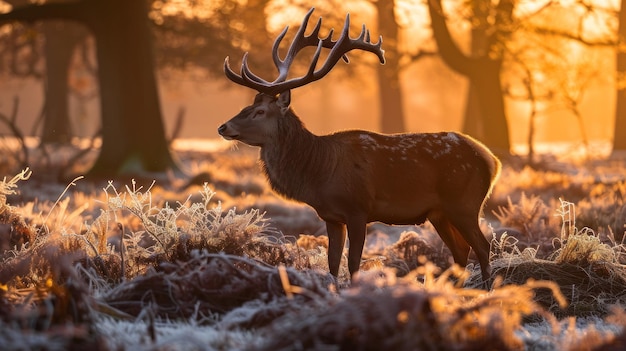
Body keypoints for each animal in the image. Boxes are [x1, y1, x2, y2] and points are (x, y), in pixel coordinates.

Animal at [217, 8, 500, 284]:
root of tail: (491, 160)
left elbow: (353, 263)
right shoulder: (331, 217)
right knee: (461, 250)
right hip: (439, 213)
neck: (319, 172)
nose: (223, 127)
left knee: (483, 247)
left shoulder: (358, 208)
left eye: (260, 112)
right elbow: (333, 264)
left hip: (464, 203)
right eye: (248, 106)